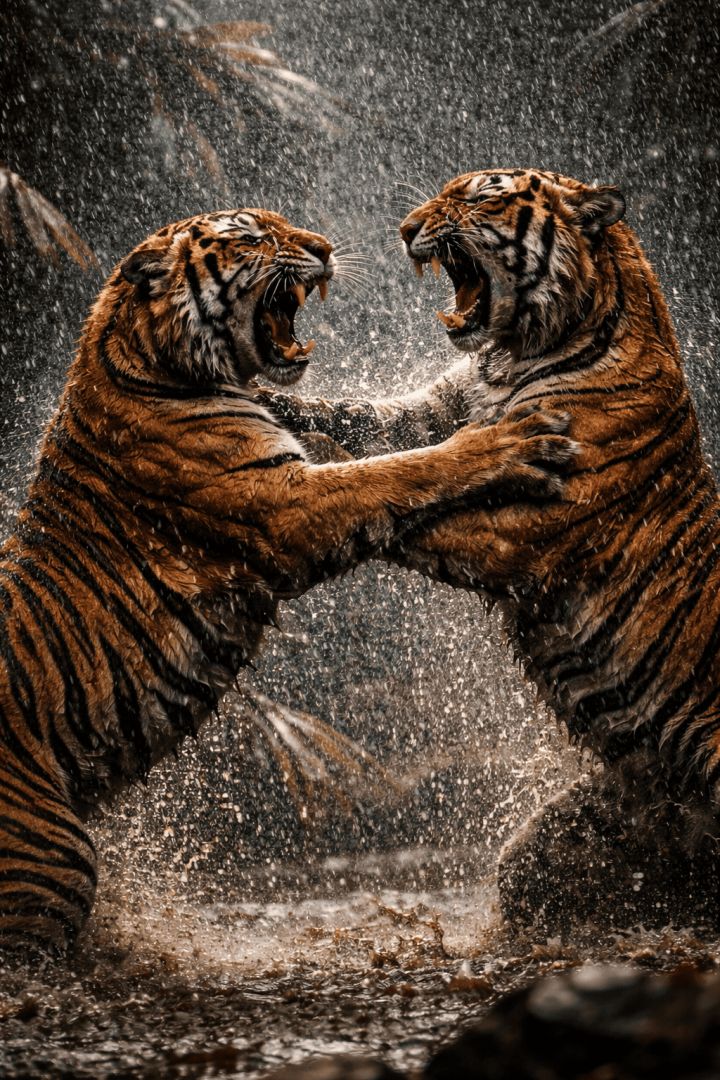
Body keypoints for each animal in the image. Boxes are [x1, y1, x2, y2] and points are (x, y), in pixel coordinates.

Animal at [0, 205, 576, 953]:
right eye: (251, 236)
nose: (324, 248)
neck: (139, 357)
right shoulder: (286, 507)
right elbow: (401, 470)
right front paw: (519, 439)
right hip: (55, 854)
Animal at [261, 169, 720, 929]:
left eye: (479, 196)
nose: (405, 228)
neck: (514, 354)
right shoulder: (431, 412)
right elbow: (362, 421)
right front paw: (270, 404)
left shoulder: (522, 527)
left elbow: (415, 502)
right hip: (587, 835)